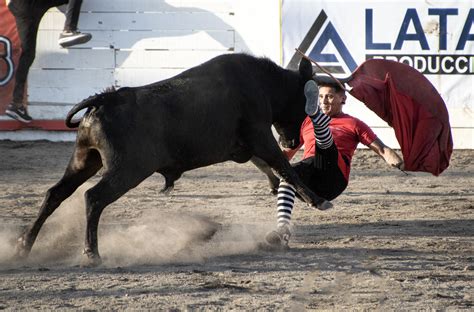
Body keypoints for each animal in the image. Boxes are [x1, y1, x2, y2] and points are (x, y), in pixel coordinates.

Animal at [15, 53, 334, 266]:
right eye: (305, 105)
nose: (291, 141)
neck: (263, 83)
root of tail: (104, 100)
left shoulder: (252, 145)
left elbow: (274, 168)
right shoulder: (260, 136)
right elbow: (284, 167)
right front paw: (317, 199)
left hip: (84, 160)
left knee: (55, 194)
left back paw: (24, 246)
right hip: (127, 170)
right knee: (93, 198)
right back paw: (91, 253)